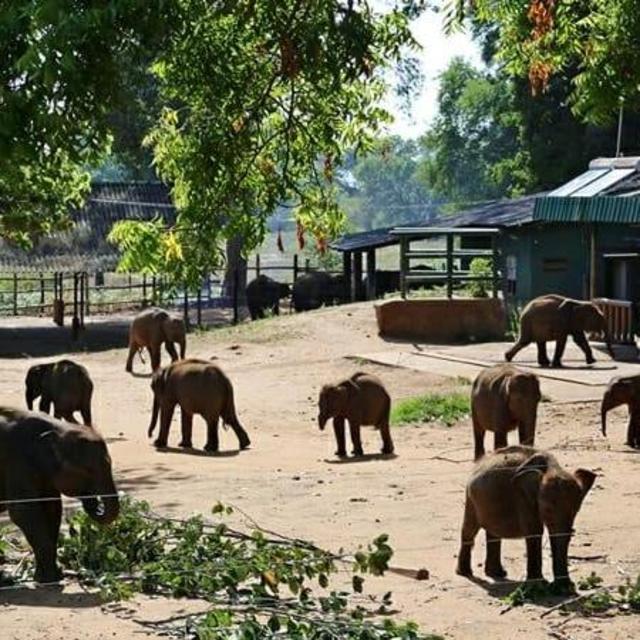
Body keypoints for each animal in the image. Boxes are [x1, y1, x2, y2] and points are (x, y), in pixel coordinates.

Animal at [0, 409, 119, 583]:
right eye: (88, 471)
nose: (95, 503)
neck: (57, 428)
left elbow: (53, 508)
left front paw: (53, 576)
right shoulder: (16, 461)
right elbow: (23, 511)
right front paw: (49, 579)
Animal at [456, 446, 596, 588]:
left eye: (576, 511)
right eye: (547, 510)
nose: (566, 587)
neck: (552, 468)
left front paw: (560, 588)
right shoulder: (523, 497)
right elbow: (534, 531)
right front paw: (538, 586)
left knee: (493, 533)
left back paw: (497, 573)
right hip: (471, 499)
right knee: (469, 529)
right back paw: (465, 572)